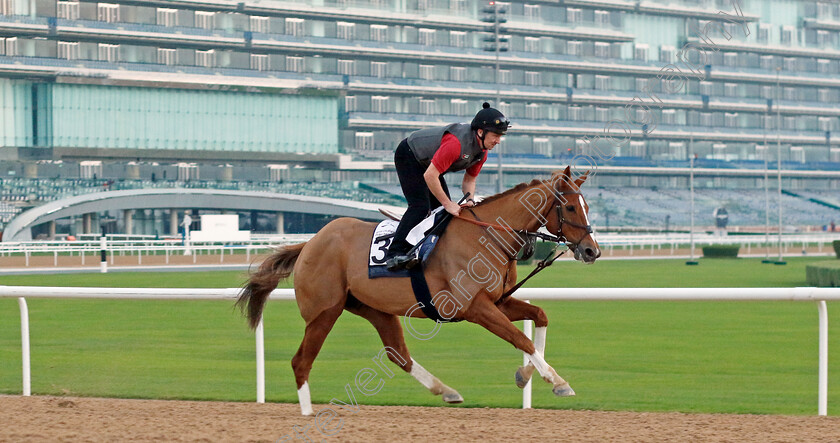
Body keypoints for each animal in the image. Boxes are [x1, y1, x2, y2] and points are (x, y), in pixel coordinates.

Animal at [238, 166, 596, 416]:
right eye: (571, 208)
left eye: (587, 205)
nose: (592, 250)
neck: (486, 236)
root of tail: (310, 243)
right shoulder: (475, 307)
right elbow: (520, 337)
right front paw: (556, 380)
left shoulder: (499, 301)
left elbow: (540, 316)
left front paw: (527, 374)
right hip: (324, 312)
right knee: (301, 361)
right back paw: (308, 412)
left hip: (373, 308)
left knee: (398, 353)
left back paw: (446, 390)